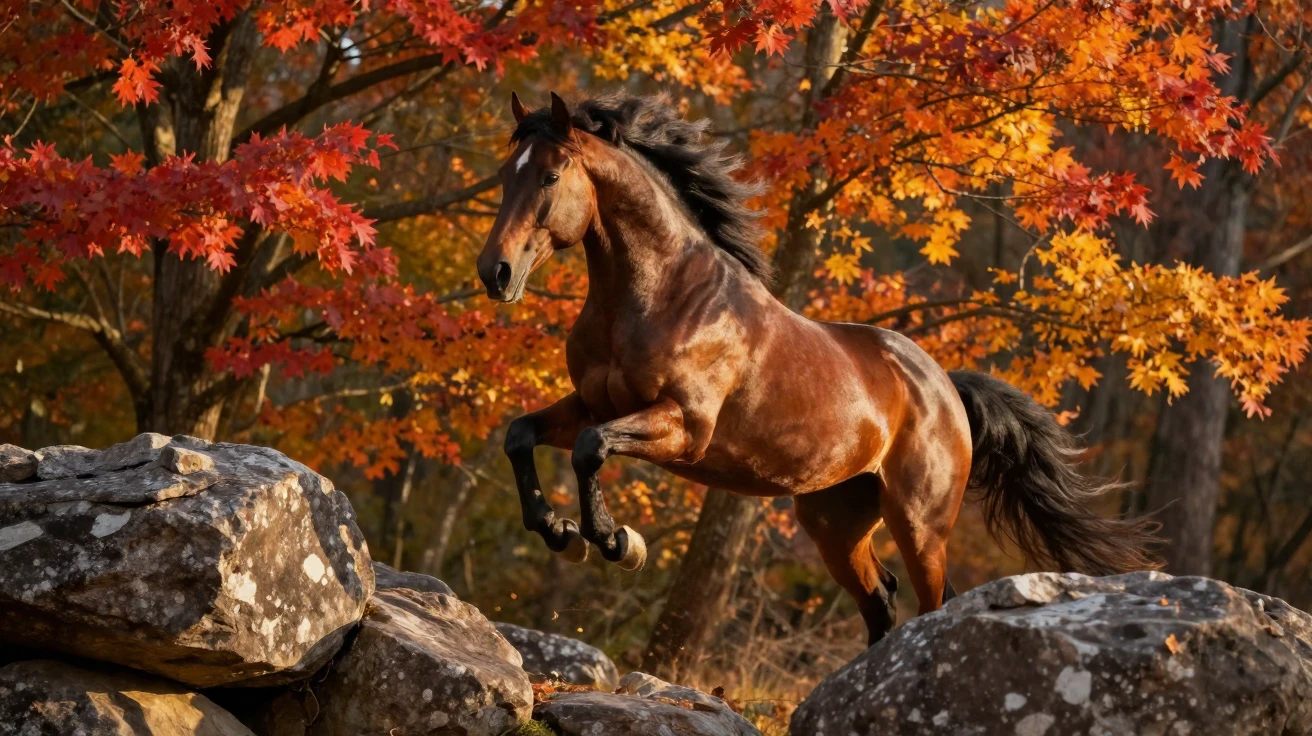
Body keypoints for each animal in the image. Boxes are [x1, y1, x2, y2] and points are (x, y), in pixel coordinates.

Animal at [476, 91, 1160, 645]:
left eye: (550, 175)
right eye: (507, 175)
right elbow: (522, 434)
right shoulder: (593, 404)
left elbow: (590, 448)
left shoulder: (682, 427)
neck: (660, 295)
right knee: (881, 602)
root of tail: (946, 387)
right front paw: (559, 530)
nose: (496, 273)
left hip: (919, 526)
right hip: (835, 523)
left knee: (930, 605)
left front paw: (616, 542)